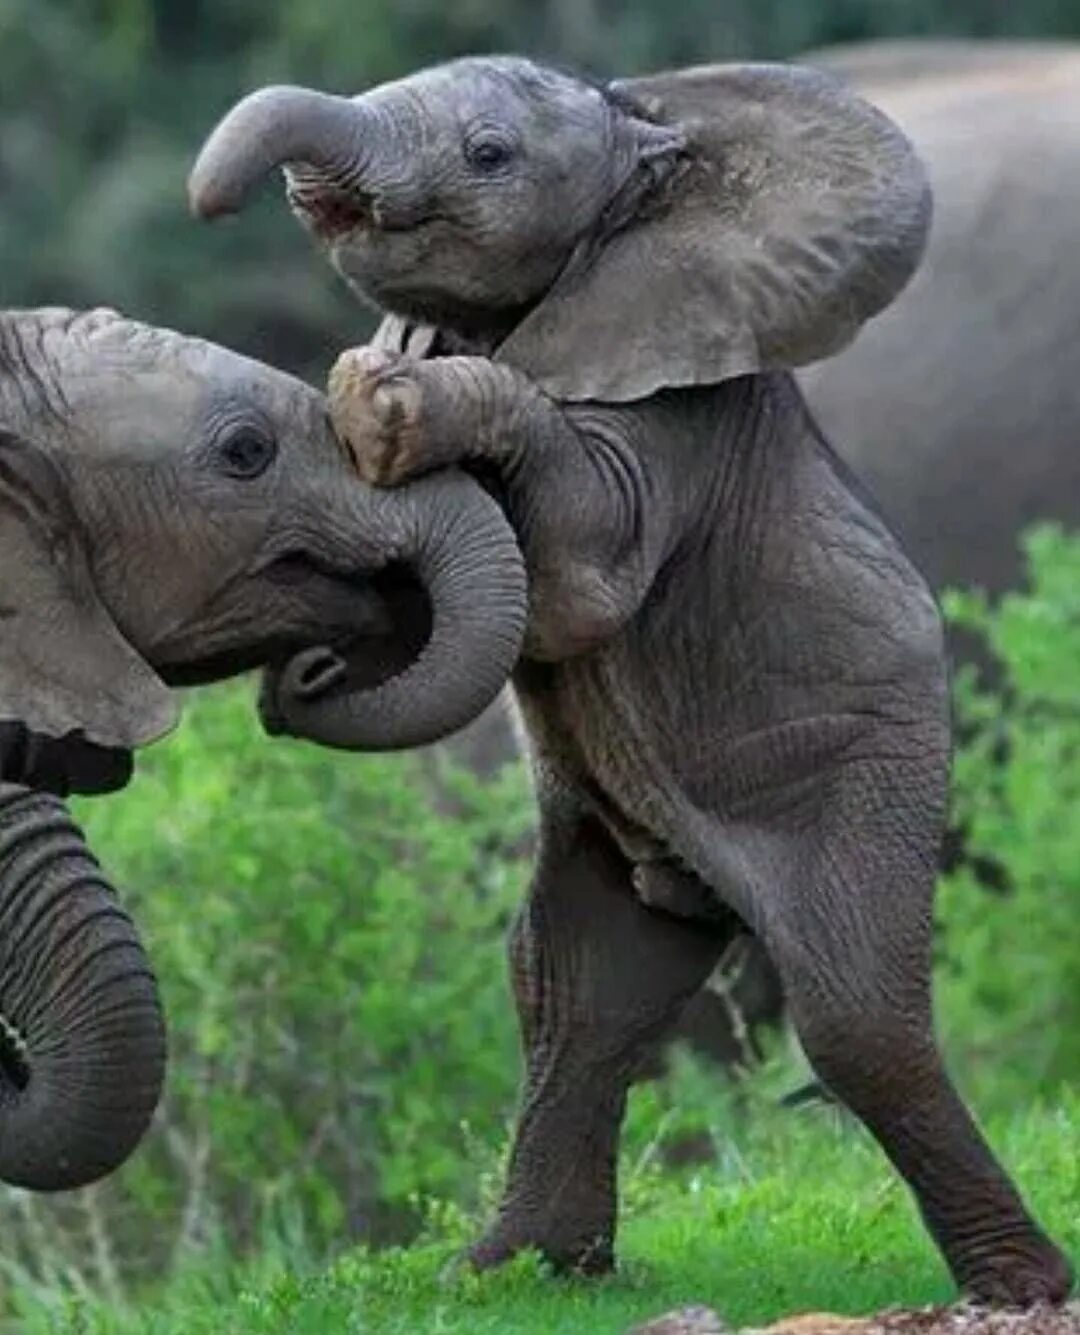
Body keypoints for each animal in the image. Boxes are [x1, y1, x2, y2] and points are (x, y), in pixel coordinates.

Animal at [192, 54, 1067, 1302]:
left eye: (491, 155)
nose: (214, 207)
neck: (644, 149)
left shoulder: (678, 420)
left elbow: (581, 571)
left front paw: (384, 401)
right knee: (574, 987)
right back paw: (513, 1272)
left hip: (873, 764)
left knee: (854, 1011)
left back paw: (1019, 1285)